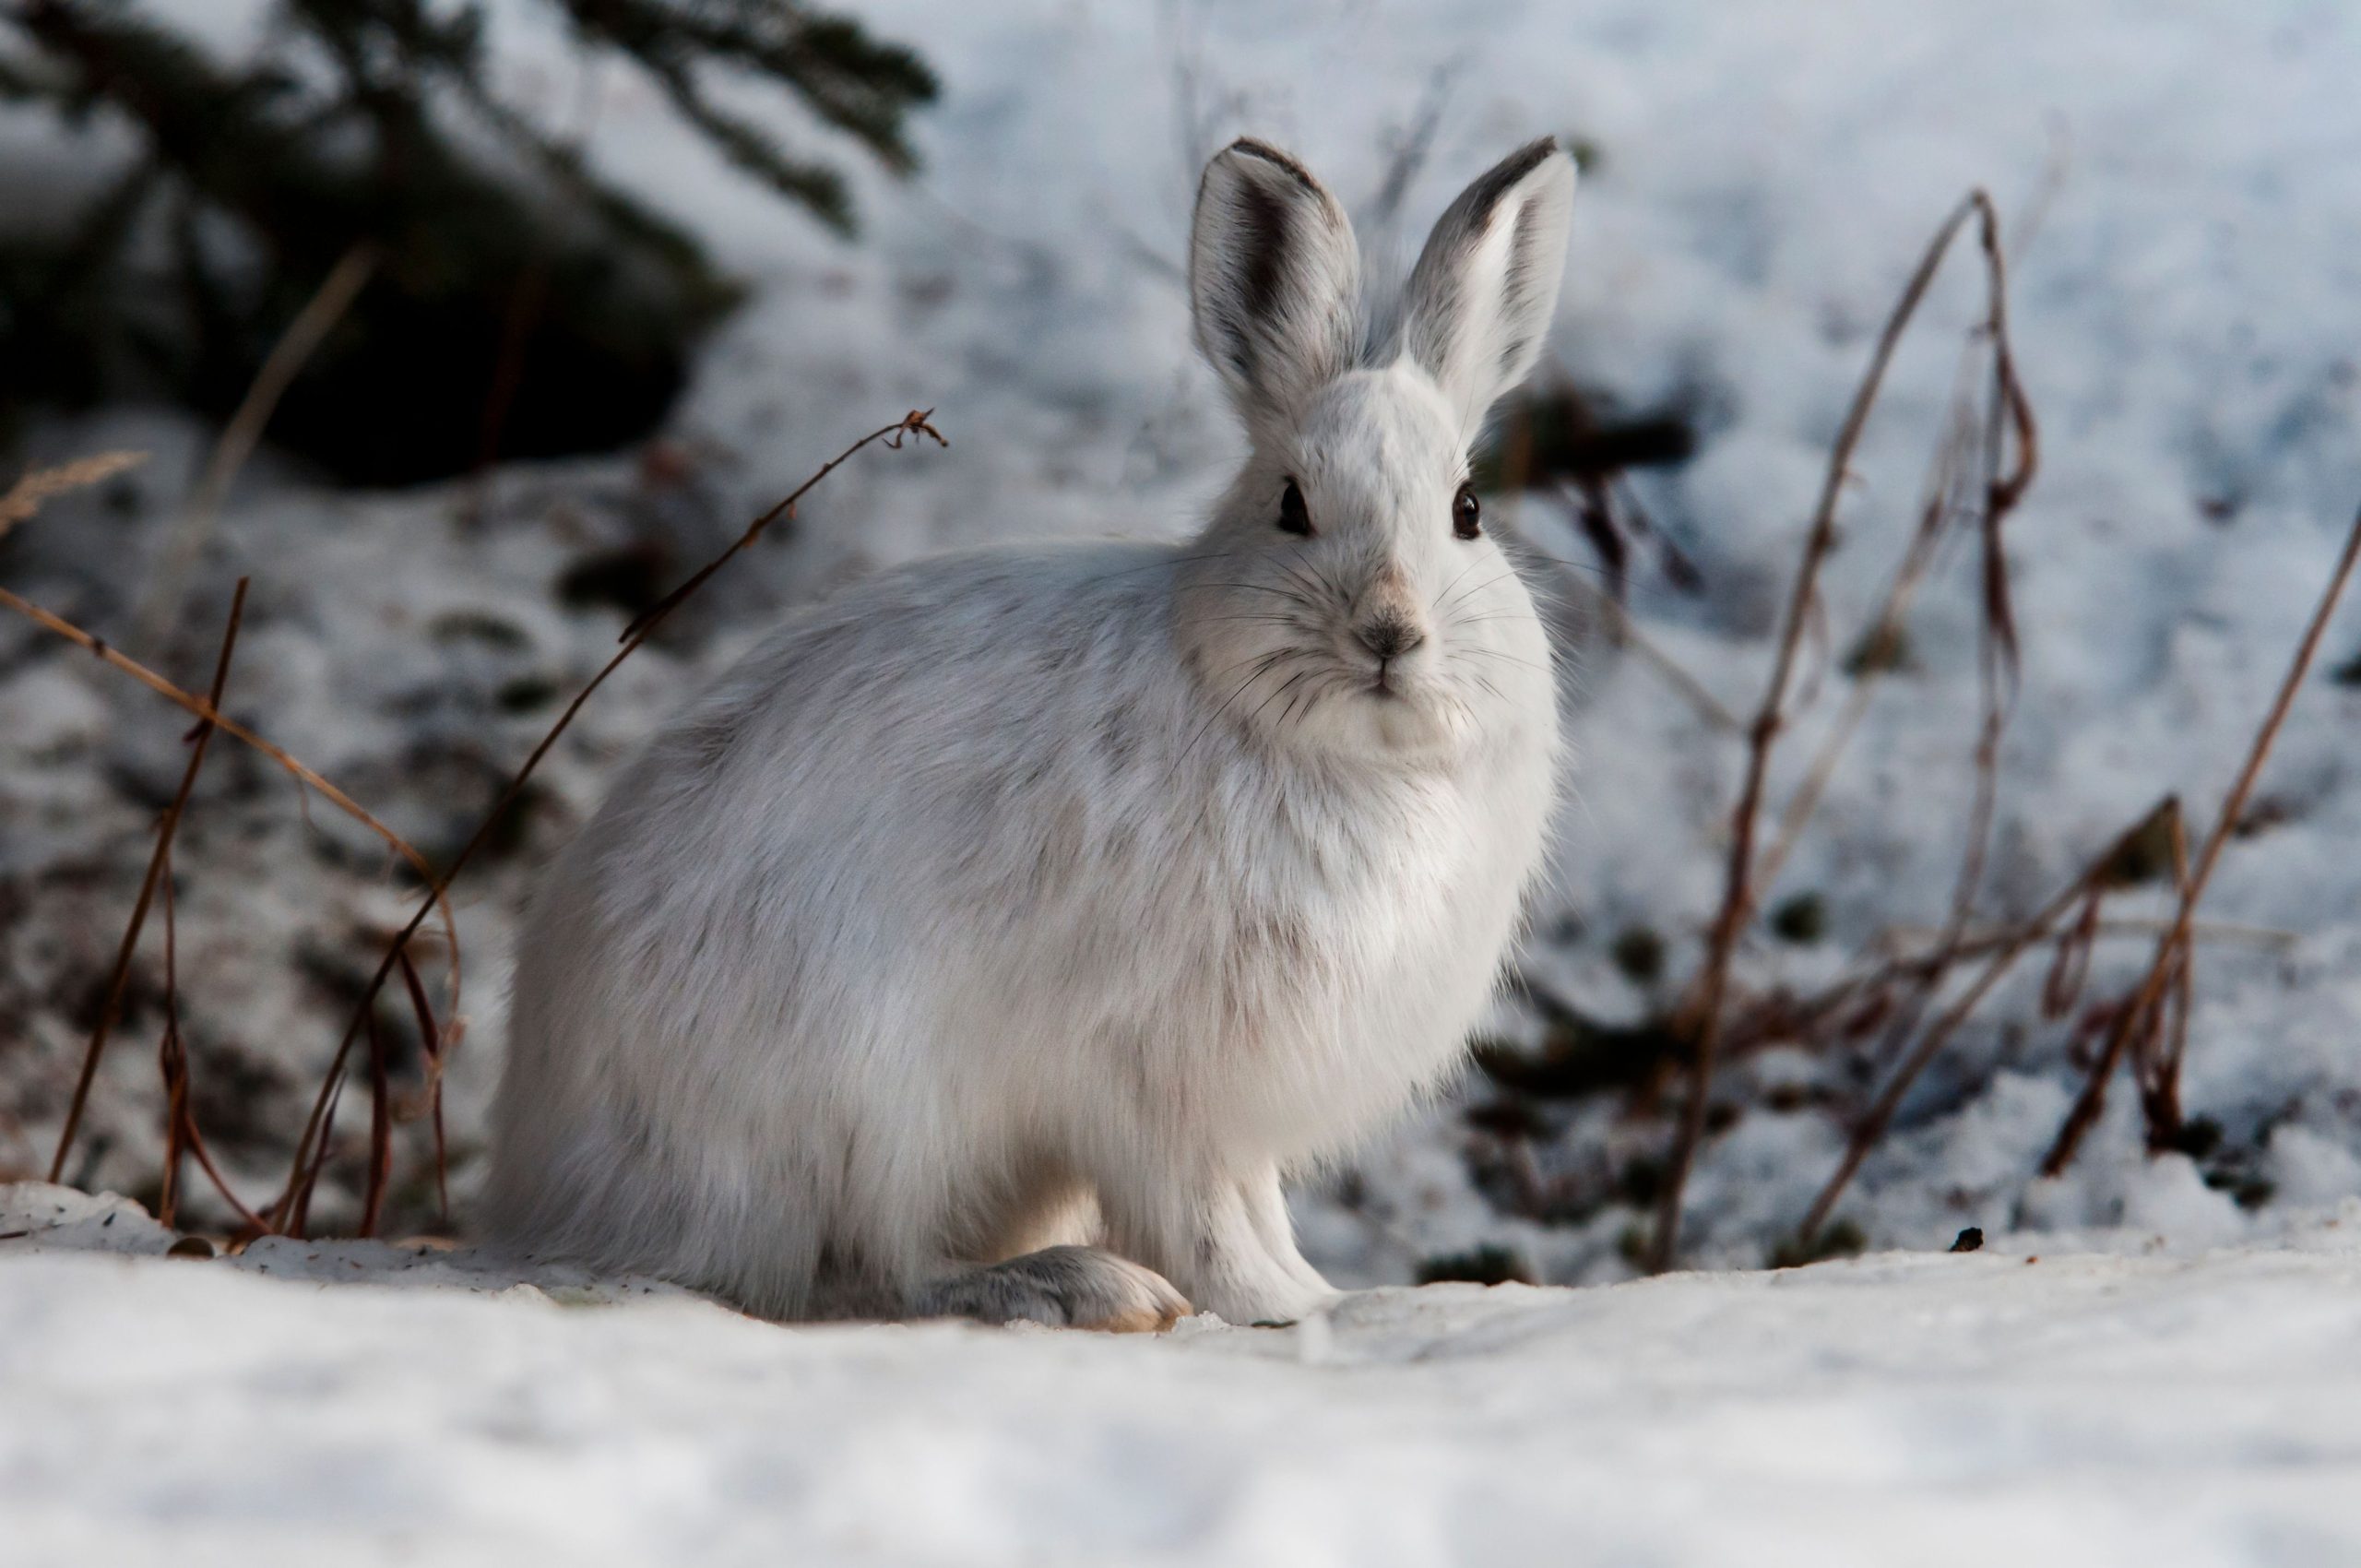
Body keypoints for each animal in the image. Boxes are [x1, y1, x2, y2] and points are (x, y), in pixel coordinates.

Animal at [484, 135, 1576, 1330]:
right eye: (1291, 505)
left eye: (1467, 512)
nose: (1388, 631)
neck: (1341, 755)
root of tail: (558, 1184)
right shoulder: (1151, 1072)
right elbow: (1201, 1210)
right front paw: (1270, 1304)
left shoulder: (1223, 1107)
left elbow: (1254, 1203)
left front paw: (1315, 1291)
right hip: (866, 1095)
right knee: (872, 1269)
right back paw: (1074, 1284)